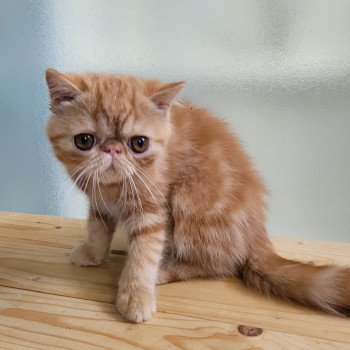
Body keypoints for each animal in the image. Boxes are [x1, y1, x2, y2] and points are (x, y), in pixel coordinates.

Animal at [45, 68, 350, 322]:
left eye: (139, 143)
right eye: (84, 141)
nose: (112, 150)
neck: (112, 188)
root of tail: (258, 236)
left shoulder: (152, 209)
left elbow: (145, 251)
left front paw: (136, 295)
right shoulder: (99, 200)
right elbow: (98, 226)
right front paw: (93, 252)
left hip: (192, 199)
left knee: (218, 264)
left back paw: (164, 270)